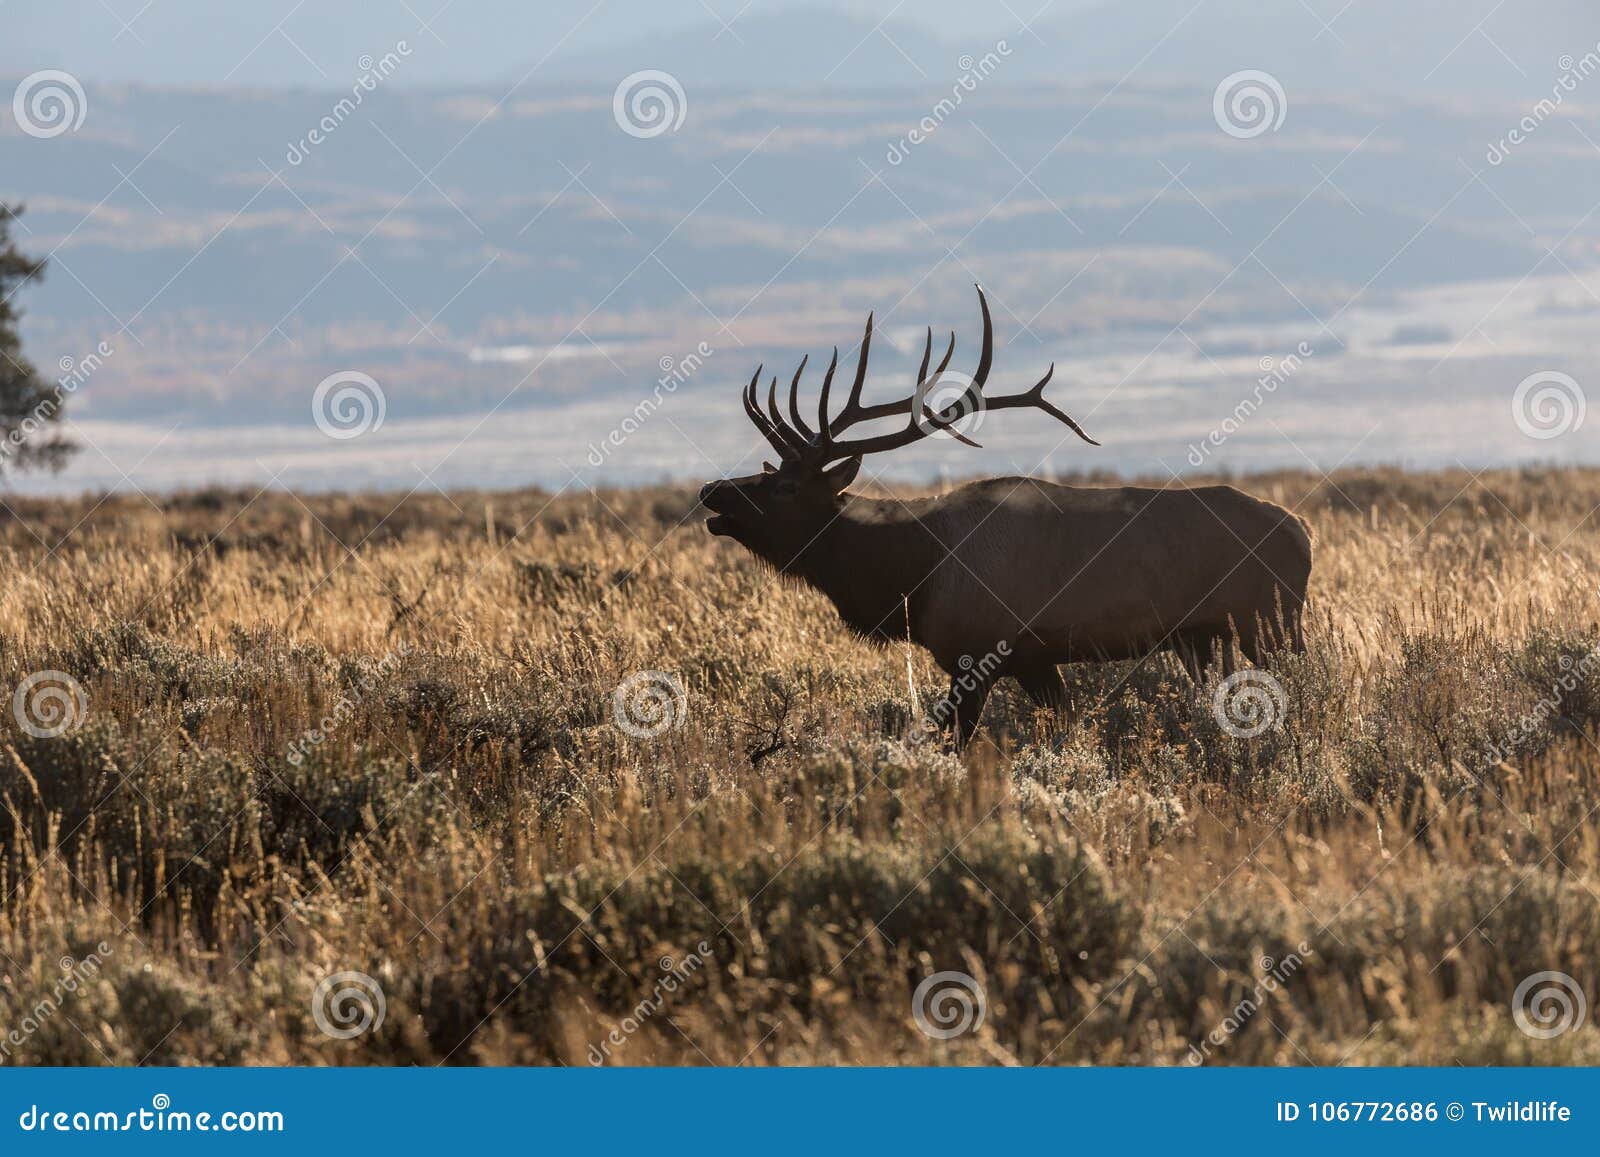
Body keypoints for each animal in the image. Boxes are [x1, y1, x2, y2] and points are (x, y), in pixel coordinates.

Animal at [699, 286, 1312, 749]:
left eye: (785, 485)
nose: (712, 492)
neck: (911, 576)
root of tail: (1303, 534)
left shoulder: (979, 654)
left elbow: (958, 742)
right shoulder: (1035, 661)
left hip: (1271, 621)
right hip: (1204, 636)